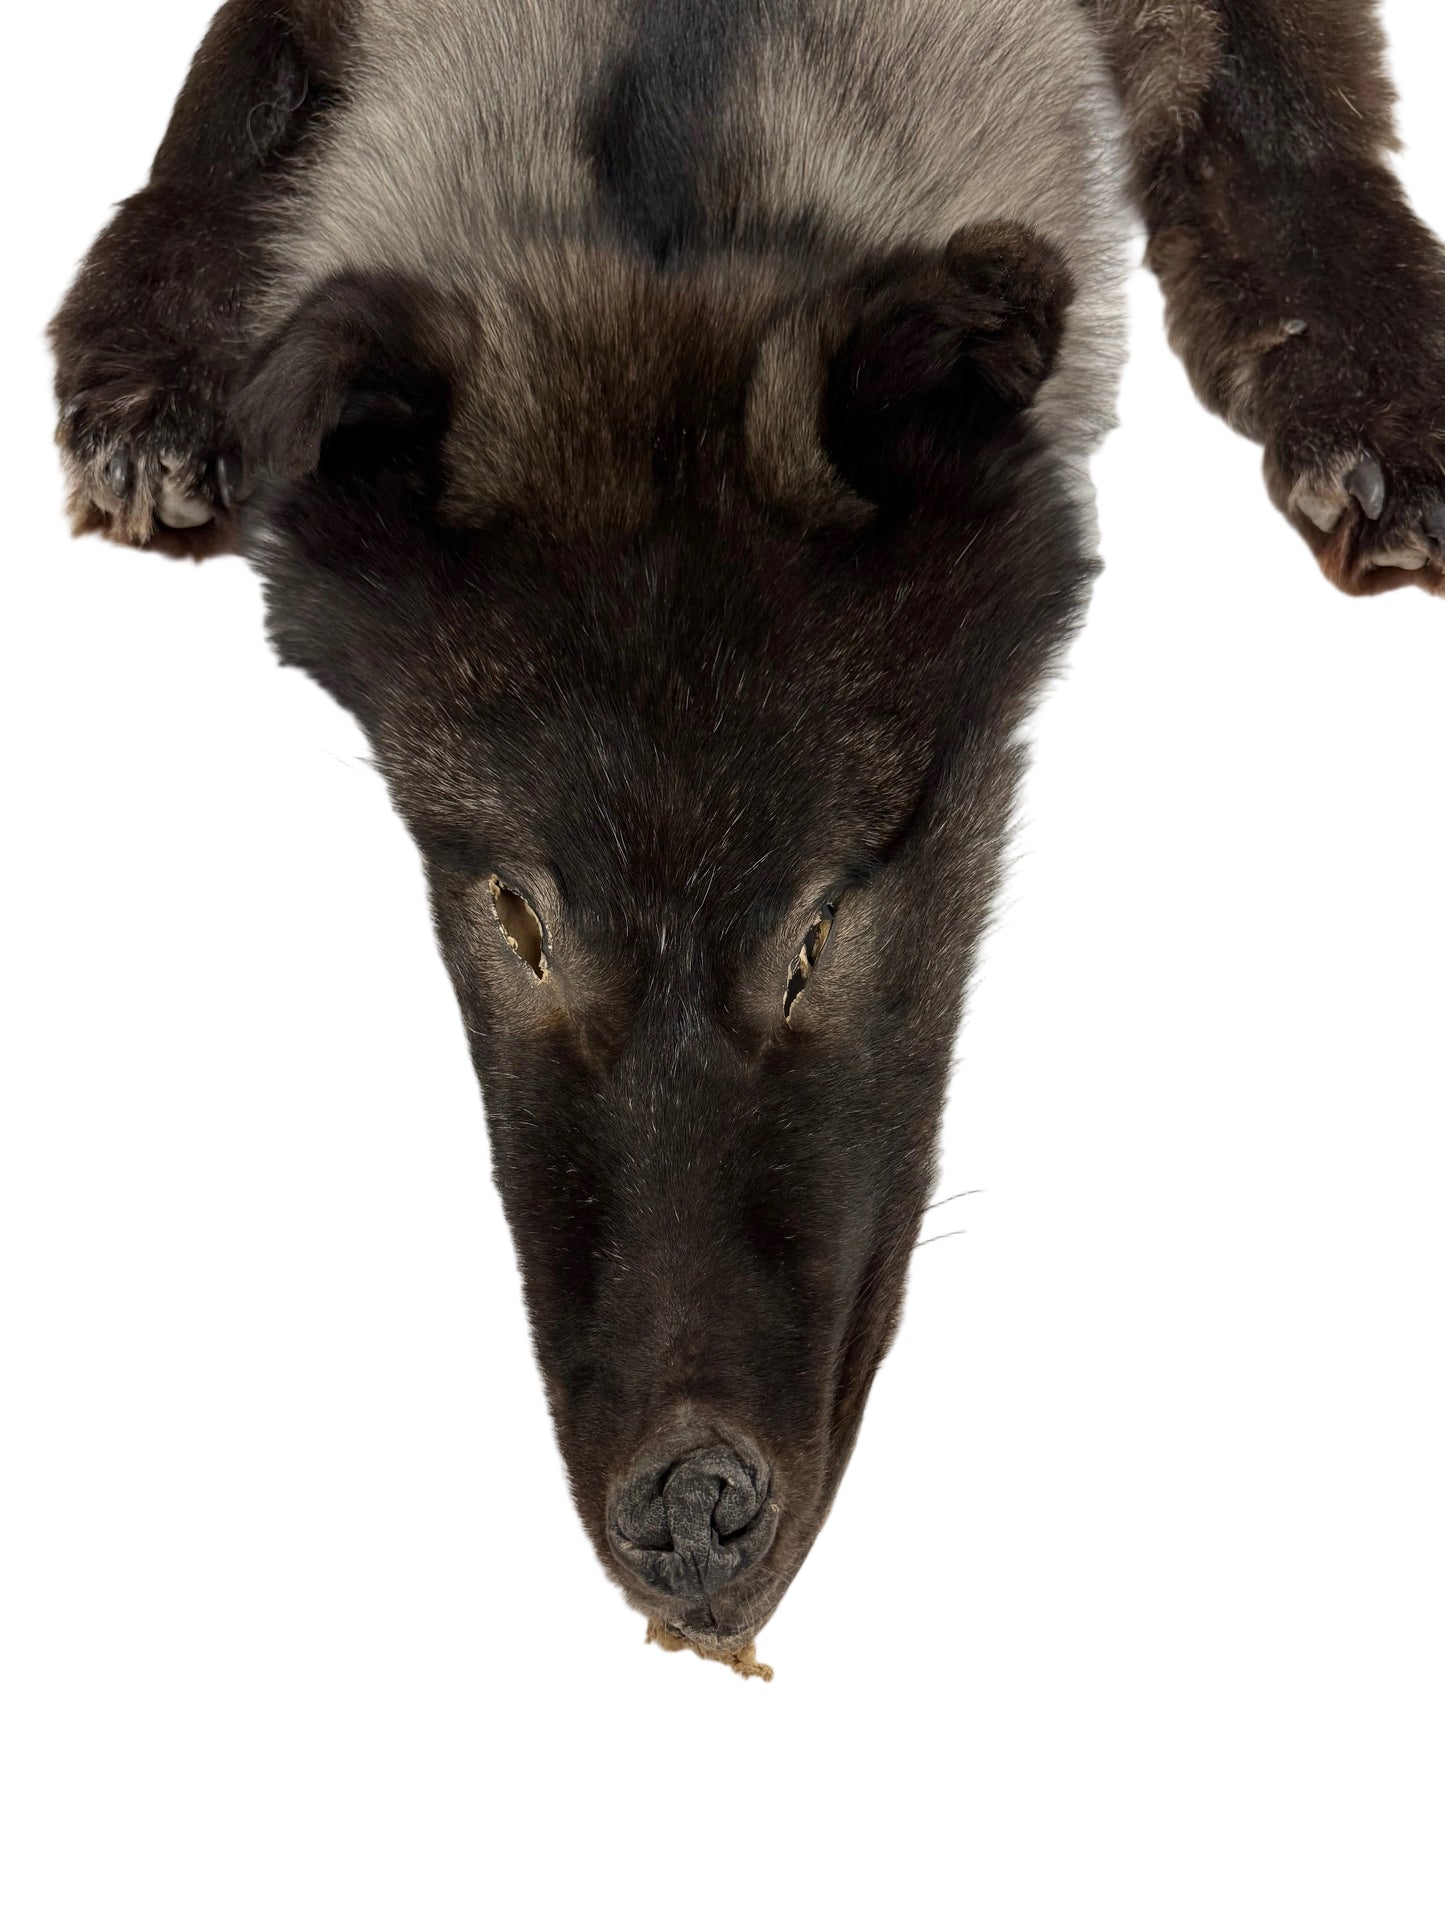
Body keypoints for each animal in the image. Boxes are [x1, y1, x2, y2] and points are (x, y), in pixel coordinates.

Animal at [51, 1, 1444, 1674]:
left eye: (817, 929)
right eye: (517, 918)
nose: (694, 1509)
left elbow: (1287, 112)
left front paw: (1375, 381)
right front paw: (167, 332)